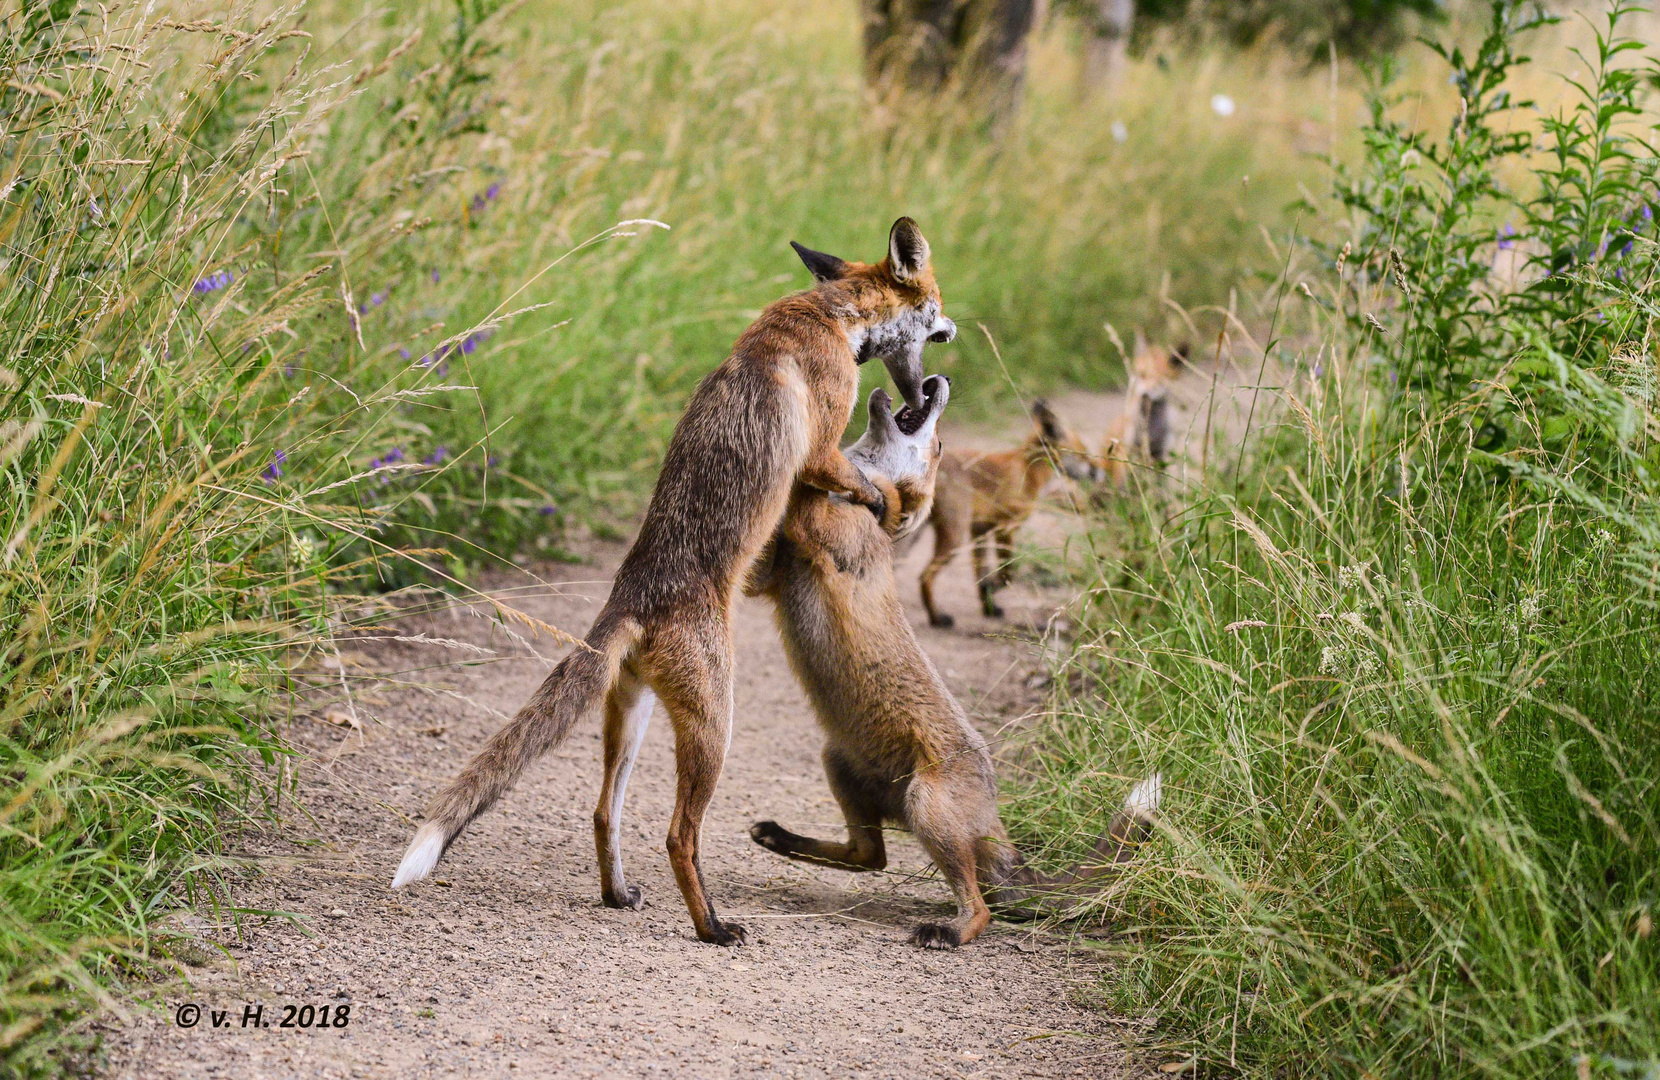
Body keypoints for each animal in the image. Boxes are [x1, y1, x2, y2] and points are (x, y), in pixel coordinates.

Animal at [391, 218, 962, 948]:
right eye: (935, 297)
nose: (953, 329)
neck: (828, 314)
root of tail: (634, 598)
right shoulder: (820, 447)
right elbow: (863, 484)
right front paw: (888, 508)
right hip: (717, 724)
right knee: (677, 836)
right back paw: (712, 926)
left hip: (630, 718)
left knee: (604, 812)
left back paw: (617, 893)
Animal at [916, 401, 1095, 630]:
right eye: (1083, 454)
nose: (1097, 471)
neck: (1029, 471)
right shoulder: (1005, 528)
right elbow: (1007, 572)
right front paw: (992, 587)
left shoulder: (980, 532)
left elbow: (981, 574)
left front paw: (989, 607)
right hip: (954, 536)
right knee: (924, 577)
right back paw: (936, 618)